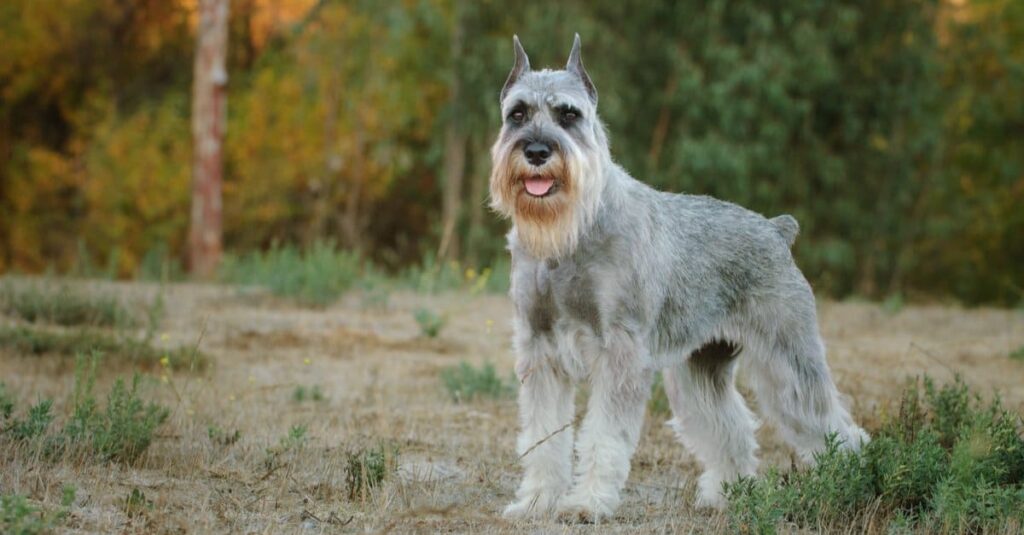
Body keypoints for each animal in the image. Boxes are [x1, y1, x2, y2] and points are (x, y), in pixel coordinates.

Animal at [491, 34, 868, 520]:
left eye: (568, 115)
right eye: (517, 113)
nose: (536, 151)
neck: (573, 231)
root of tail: (777, 229)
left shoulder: (620, 350)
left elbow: (604, 436)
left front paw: (588, 502)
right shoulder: (540, 348)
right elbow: (543, 436)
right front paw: (537, 500)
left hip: (788, 360)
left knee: (831, 422)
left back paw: (851, 483)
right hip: (700, 368)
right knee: (731, 426)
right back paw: (726, 493)